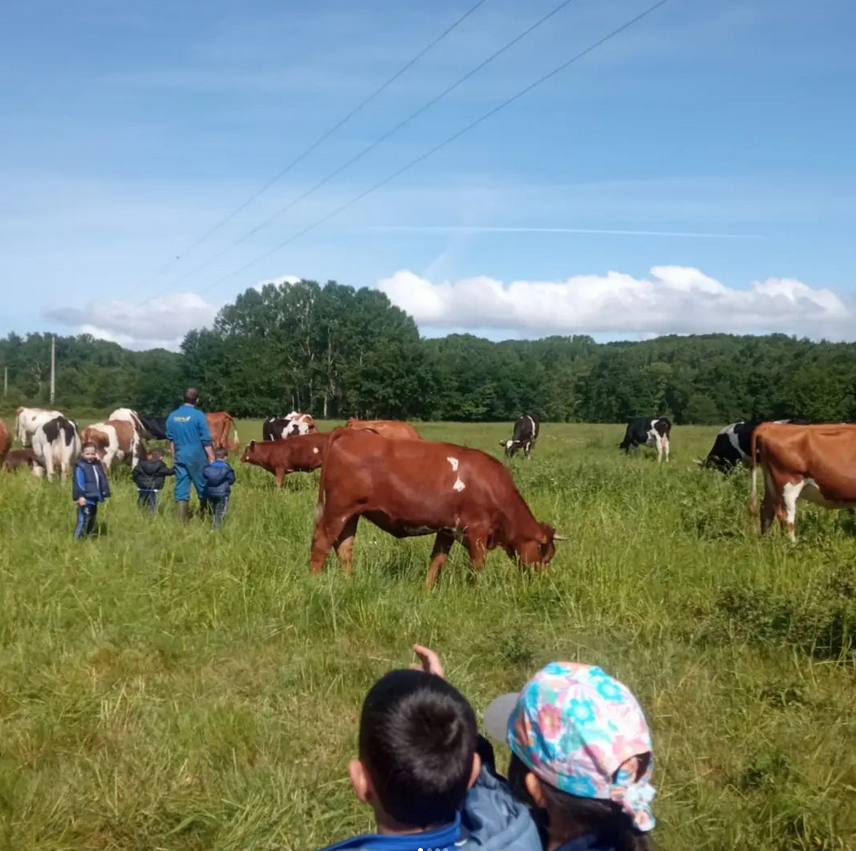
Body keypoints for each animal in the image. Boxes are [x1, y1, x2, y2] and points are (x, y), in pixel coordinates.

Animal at [310, 432, 560, 584]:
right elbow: (477, 565)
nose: (545, 581)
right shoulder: (477, 529)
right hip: (337, 510)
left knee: (344, 548)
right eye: (545, 554)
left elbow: (436, 561)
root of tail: (350, 433)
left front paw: (427, 591)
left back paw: (348, 582)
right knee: (321, 544)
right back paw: (315, 581)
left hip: (351, 514)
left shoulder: (447, 530)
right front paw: (474, 591)